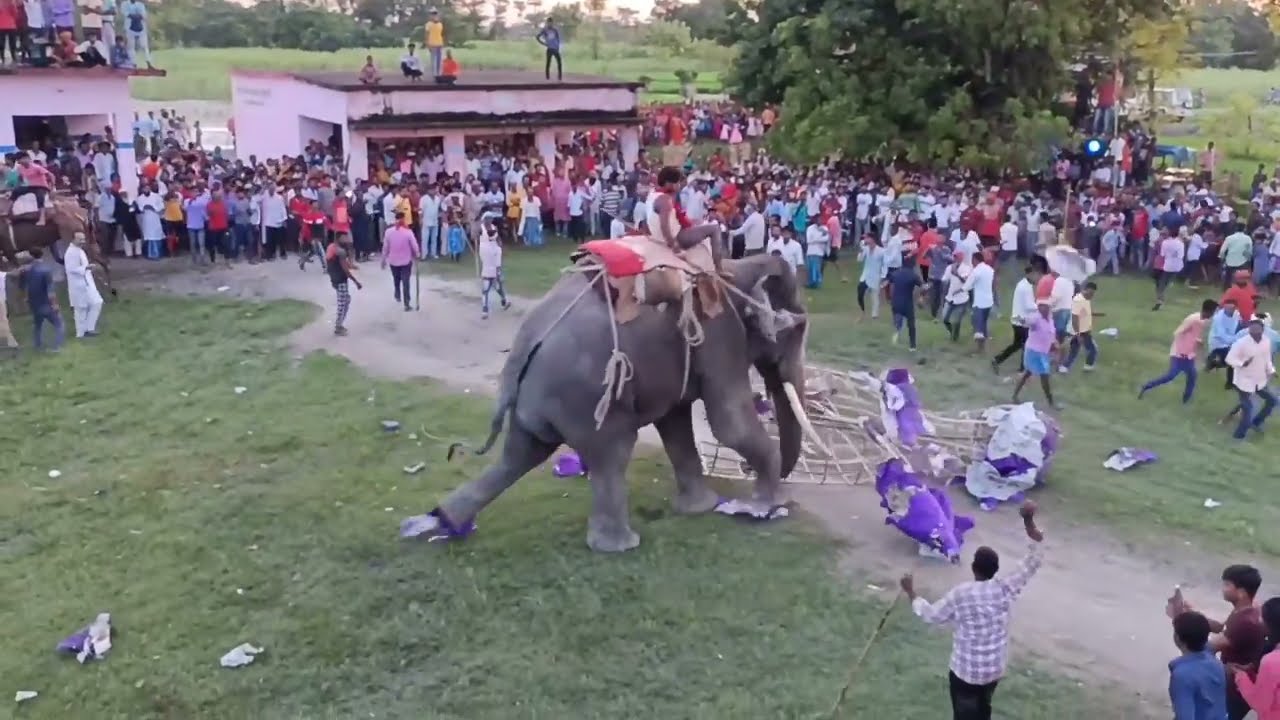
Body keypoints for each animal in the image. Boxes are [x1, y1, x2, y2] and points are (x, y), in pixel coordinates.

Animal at [428, 253, 828, 553]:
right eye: (797, 330)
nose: (746, 471)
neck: (740, 266)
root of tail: (522, 350)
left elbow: (676, 422)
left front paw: (701, 508)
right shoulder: (719, 335)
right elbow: (728, 423)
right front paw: (773, 507)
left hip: (540, 404)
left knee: (519, 455)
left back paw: (445, 520)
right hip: (585, 398)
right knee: (611, 452)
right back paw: (620, 546)